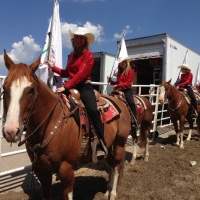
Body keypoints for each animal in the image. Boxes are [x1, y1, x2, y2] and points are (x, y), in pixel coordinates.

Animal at [2, 48, 131, 200]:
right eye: (4, 88)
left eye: (31, 90)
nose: (10, 131)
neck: (52, 124)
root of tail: (119, 100)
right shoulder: (41, 170)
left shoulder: (66, 169)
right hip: (109, 146)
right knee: (111, 166)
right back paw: (107, 192)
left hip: (119, 143)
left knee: (116, 167)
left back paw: (113, 194)